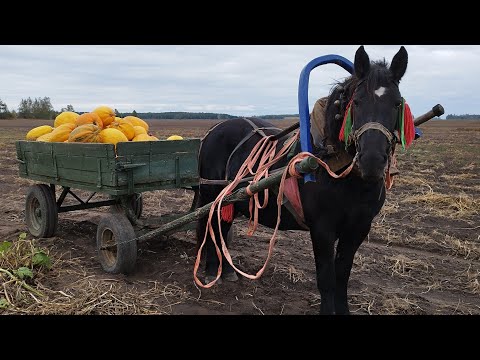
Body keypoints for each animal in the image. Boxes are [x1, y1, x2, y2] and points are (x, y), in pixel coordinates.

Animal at [195, 45, 408, 316]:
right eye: (357, 102)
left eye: (396, 103)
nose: (371, 160)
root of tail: (214, 129)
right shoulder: (322, 229)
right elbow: (326, 279)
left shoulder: (358, 228)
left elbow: (342, 277)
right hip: (212, 194)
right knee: (211, 227)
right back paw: (212, 271)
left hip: (229, 199)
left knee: (221, 228)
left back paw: (226, 272)